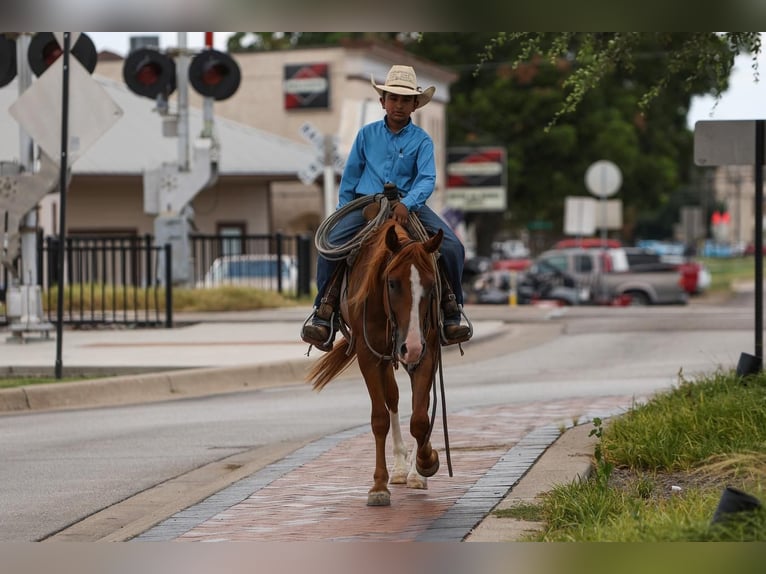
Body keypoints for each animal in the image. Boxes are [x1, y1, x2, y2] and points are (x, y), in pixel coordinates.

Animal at [306, 220, 444, 508]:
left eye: (430, 285)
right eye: (392, 283)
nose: (411, 345)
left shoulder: (427, 351)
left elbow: (420, 417)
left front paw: (425, 462)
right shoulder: (368, 355)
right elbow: (379, 418)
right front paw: (379, 486)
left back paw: (412, 471)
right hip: (386, 358)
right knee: (392, 398)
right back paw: (400, 468)